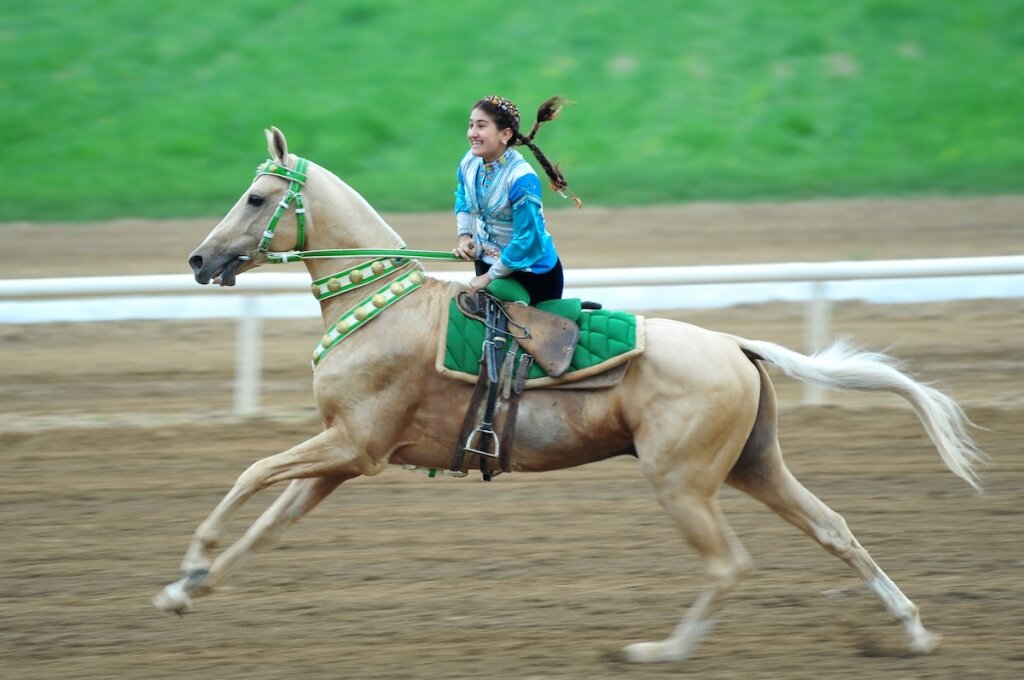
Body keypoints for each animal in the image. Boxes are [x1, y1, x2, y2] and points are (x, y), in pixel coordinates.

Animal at [151, 127, 983, 663]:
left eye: (256, 197)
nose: (198, 259)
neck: (385, 306)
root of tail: (736, 348)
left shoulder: (352, 446)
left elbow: (250, 473)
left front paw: (191, 564)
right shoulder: (343, 458)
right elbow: (271, 523)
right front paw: (186, 589)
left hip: (682, 482)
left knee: (729, 566)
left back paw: (659, 651)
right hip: (755, 465)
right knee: (834, 529)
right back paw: (913, 631)